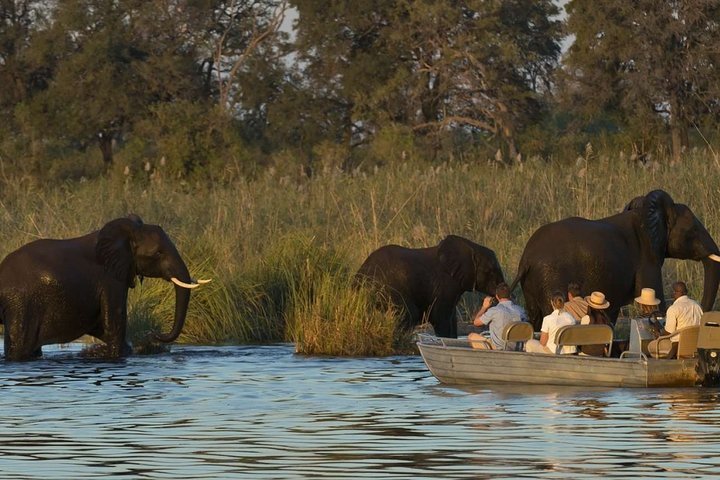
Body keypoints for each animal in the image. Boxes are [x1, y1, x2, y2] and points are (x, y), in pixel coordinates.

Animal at [0, 214, 211, 360]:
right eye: (158, 253)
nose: (153, 334)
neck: (128, 233)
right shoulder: (110, 279)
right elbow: (114, 321)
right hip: (20, 303)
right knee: (20, 346)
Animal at [356, 235, 504, 338]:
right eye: (490, 271)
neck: (470, 248)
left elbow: (452, 319)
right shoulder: (445, 284)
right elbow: (441, 317)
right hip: (387, 288)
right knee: (409, 314)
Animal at [506, 189, 720, 328]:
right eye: (693, 231)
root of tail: (526, 259)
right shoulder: (647, 256)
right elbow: (655, 304)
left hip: (533, 283)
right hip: (550, 277)